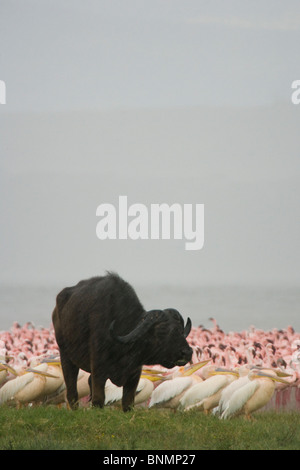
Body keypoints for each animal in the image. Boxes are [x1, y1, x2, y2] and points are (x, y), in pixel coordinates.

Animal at [51, 272, 192, 412]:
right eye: (162, 331)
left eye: (180, 330)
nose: (187, 352)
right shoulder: (98, 370)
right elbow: (98, 400)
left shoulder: (134, 374)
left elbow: (128, 403)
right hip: (66, 356)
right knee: (72, 393)